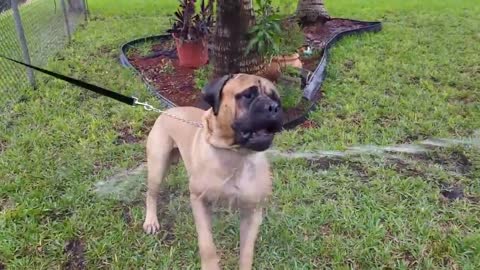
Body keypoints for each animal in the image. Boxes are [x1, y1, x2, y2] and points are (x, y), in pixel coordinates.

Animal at [144, 73, 284, 268]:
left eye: (276, 99)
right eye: (248, 95)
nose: (274, 107)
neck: (236, 154)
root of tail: (168, 111)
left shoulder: (253, 211)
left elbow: (246, 251)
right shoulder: (199, 201)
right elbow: (207, 244)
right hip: (157, 166)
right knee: (151, 194)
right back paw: (151, 221)